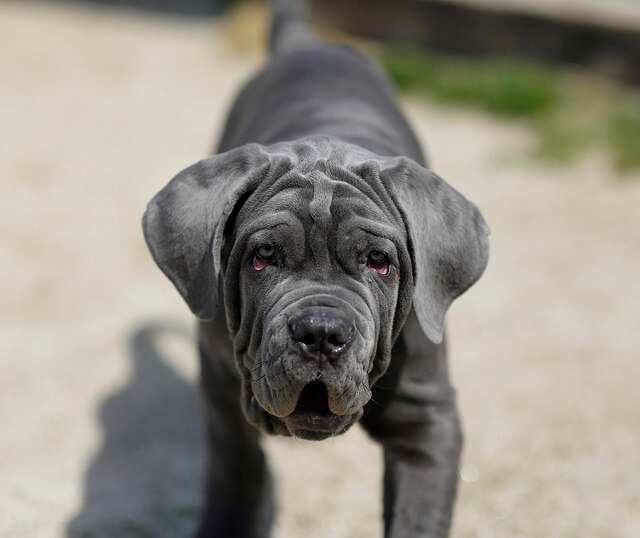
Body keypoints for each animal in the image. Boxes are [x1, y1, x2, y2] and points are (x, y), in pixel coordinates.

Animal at [141, 2, 490, 532]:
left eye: (379, 262)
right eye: (263, 256)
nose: (321, 333)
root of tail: (306, 44)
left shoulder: (427, 420)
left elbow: (417, 515)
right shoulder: (222, 393)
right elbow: (235, 475)